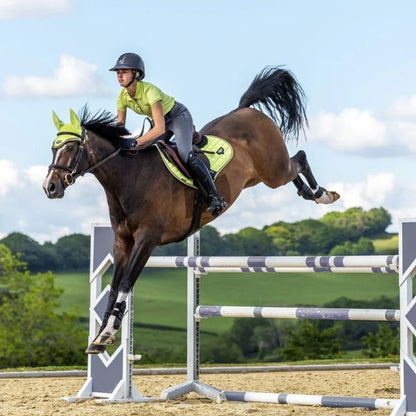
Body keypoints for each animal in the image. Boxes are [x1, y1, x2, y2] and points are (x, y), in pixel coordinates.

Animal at [44, 66, 340, 352]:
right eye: (53, 148)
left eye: (71, 147)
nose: (50, 187)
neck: (130, 177)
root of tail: (245, 110)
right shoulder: (122, 241)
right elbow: (115, 286)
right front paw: (99, 338)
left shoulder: (147, 239)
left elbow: (127, 283)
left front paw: (107, 333)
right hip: (259, 176)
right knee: (294, 170)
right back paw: (309, 193)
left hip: (273, 168)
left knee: (299, 159)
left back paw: (323, 194)